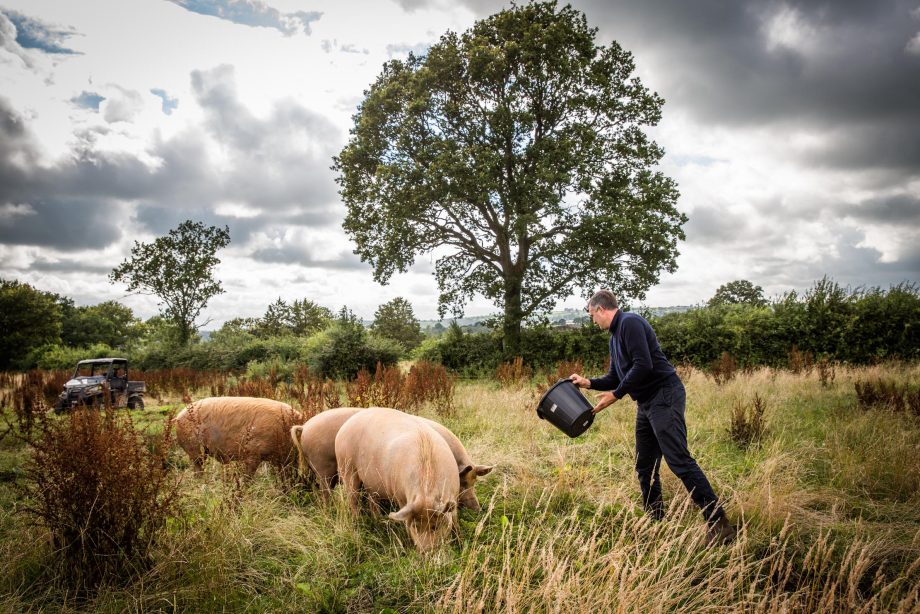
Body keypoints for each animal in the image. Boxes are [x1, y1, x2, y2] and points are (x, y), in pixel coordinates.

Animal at [290, 407, 493, 508]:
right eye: (463, 483)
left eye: (475, 482)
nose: (476, 508)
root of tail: (305, 427)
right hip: (323, 467)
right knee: (325, 493)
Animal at [334, 407, 459, 552]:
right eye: (415, 526)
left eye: (435, 527)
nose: (425, 551)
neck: (426, 492)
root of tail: (343, 428)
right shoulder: (400, 496)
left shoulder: (455, 494)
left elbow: (455, 519)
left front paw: (459, 540)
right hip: (346, 467)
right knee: (353, 499)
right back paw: (358, 522)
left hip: (371, 482)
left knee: (372, 500)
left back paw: (378, 520)